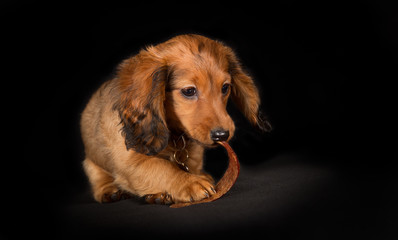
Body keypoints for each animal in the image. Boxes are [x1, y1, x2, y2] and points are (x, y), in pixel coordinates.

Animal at [80, 34, 270, 204]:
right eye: (189, 91)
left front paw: (192, 177)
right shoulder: (128, 161)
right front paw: (189, 182)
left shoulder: (193, 154)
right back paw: (109, 190)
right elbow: (162, 167)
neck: (174, 136)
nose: (222, 135)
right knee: (98, 175)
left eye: (225, 88)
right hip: (92, 162)